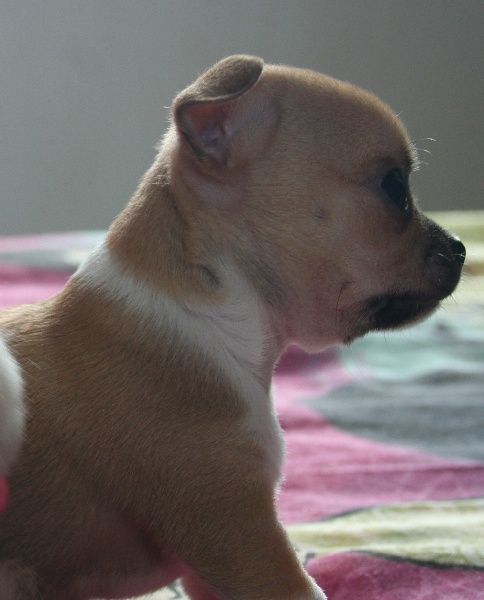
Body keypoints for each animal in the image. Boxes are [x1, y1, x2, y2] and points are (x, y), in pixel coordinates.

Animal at [0, 55, 465, 599]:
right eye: (395, 188)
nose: (462, 247)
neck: (223, 323)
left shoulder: (213, 566)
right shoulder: (244, 538)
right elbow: (304, 589)